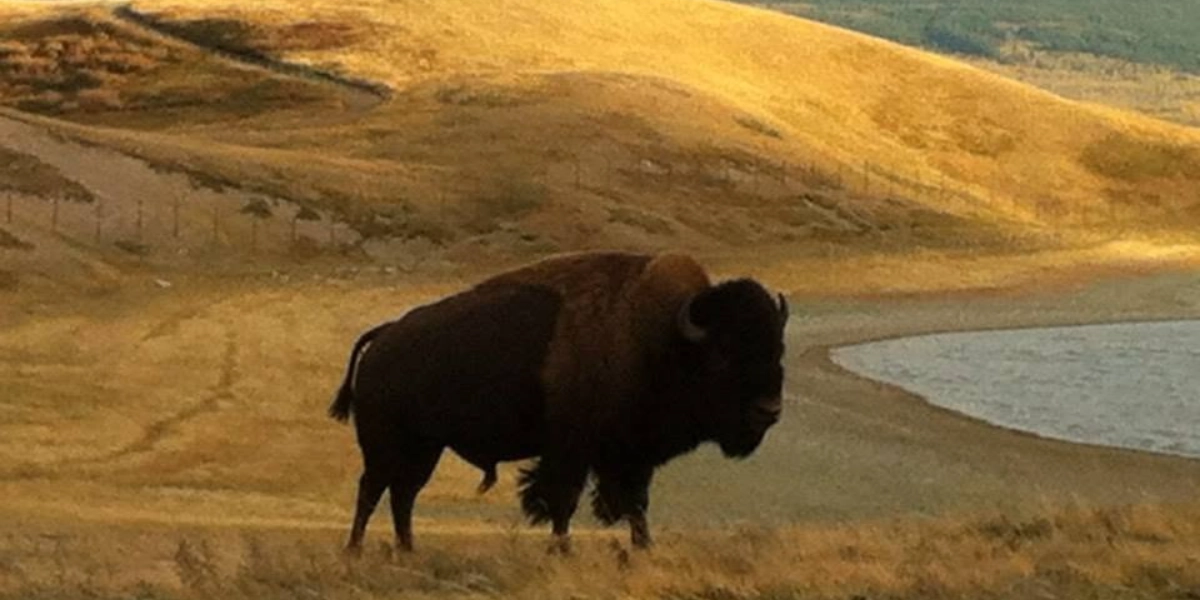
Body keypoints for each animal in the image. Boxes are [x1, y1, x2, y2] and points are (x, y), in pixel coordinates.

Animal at [330, 251, 789, 553]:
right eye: (724, 353)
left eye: (777, 348)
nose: (769, 411)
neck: (660, 340)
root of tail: (385, 336)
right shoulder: (571, 451)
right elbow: (562, 500)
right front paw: (562, 549)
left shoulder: (631, 456)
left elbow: (636, 503)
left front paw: (643, 547)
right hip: (387, 445)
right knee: (373, 489)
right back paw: (355, 549)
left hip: (426, 448)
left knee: (403, 493)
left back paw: (408, 549)